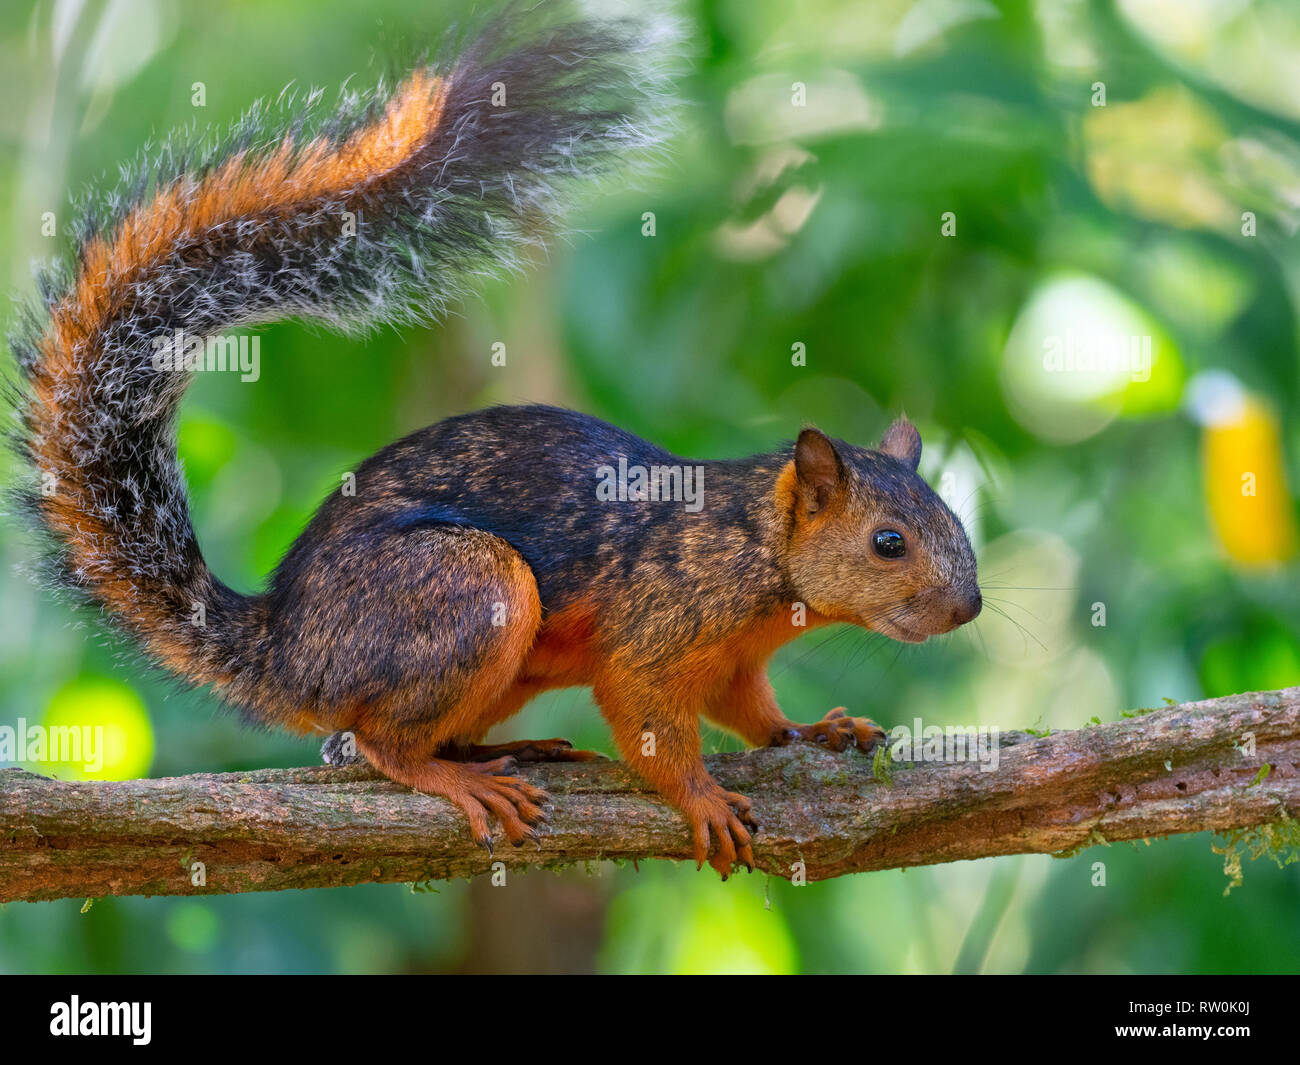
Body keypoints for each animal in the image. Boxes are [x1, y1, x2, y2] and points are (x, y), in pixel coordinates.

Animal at [10, 0, 977, 873]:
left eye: (956, 521)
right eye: (888, 542)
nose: (966, 608)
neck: (758, 553)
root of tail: (283, 647)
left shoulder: (738, 661)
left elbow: (756, 713)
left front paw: (819, 728)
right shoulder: (658, 623)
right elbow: (649, 721)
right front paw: (703, 799)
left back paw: (506, 751)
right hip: (468, 590)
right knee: (378, 743)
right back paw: (461, 777)